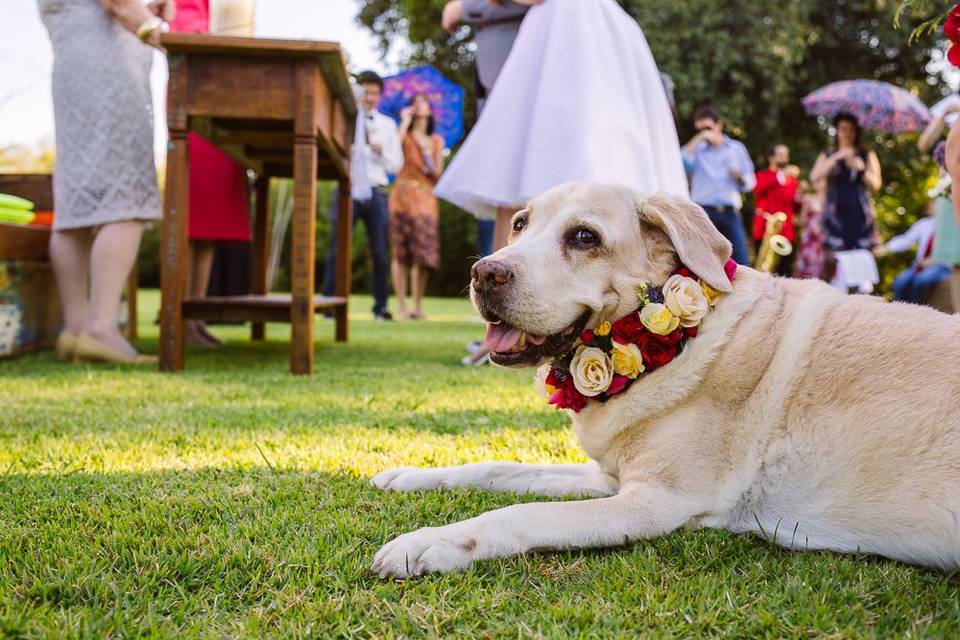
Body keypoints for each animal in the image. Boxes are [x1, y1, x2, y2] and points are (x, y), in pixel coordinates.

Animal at [370, 181, 960, 580]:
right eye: (520, 224)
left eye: (583, 237)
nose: (484, 273)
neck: (677, 347)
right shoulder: (610, 477)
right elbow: (502, 469)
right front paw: (409, 476)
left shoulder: (654, 502)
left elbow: (521, 512)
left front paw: (431, 543)